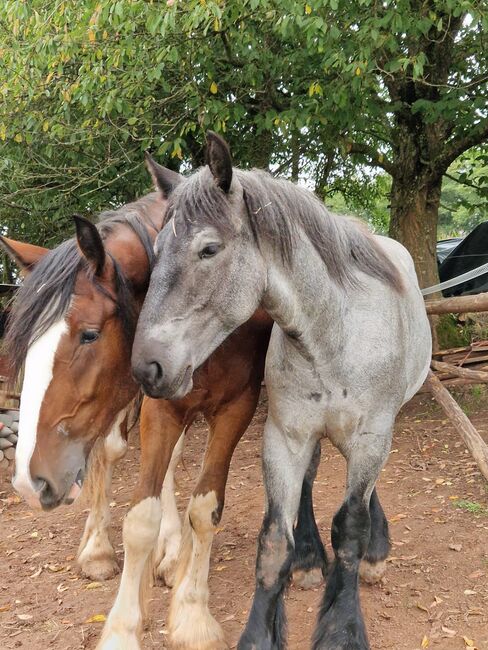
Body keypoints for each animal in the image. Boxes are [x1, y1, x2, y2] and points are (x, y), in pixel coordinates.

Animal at [2, 162, 328, 648]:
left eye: (89, 334)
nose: (29, 481)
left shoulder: (237, 406)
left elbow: (204, 509)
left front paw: (192, 616)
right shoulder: (159, 407)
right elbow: (140, 519)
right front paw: (121, 630)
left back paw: (173, 555)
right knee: (109, 454)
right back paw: (98, 548)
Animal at [131, 133, 430, 648]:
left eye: (208, 249)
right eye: (157, 248)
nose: (147, 367)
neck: (334, 332)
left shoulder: (372, 437)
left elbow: (351, 527)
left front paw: (342, 628)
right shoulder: (285, 435)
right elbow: (273, 541)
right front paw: (260, 632)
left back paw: (375, 551)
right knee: (310, 480)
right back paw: (309, 559)